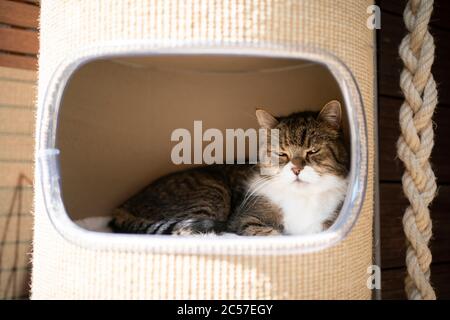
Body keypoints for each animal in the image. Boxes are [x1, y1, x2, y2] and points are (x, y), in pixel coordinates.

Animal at [110, 101, 350, 236]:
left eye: (313, 151)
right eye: (281, 153)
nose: (296, 170)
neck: (303, 198)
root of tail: (123, 205)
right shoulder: (245, 219)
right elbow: (267, 233)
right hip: (212, 192)